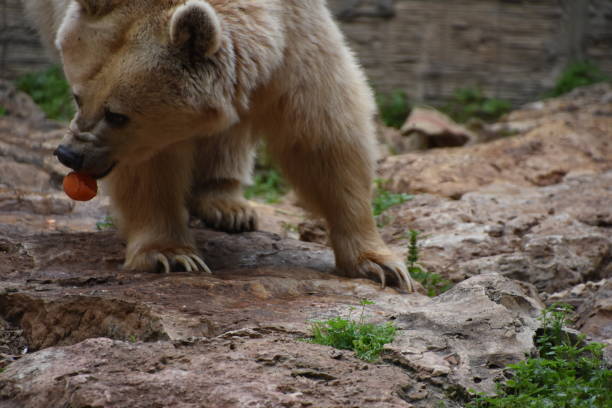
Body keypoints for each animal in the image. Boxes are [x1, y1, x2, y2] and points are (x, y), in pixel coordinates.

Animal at [23, 0, 416, 292]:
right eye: (77, 97)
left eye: (116, 114)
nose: (70, 154)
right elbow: (152, 168)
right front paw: (170, 255)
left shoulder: (294, 40)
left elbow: (324, 135)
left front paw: (381, 265)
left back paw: (227, 205)